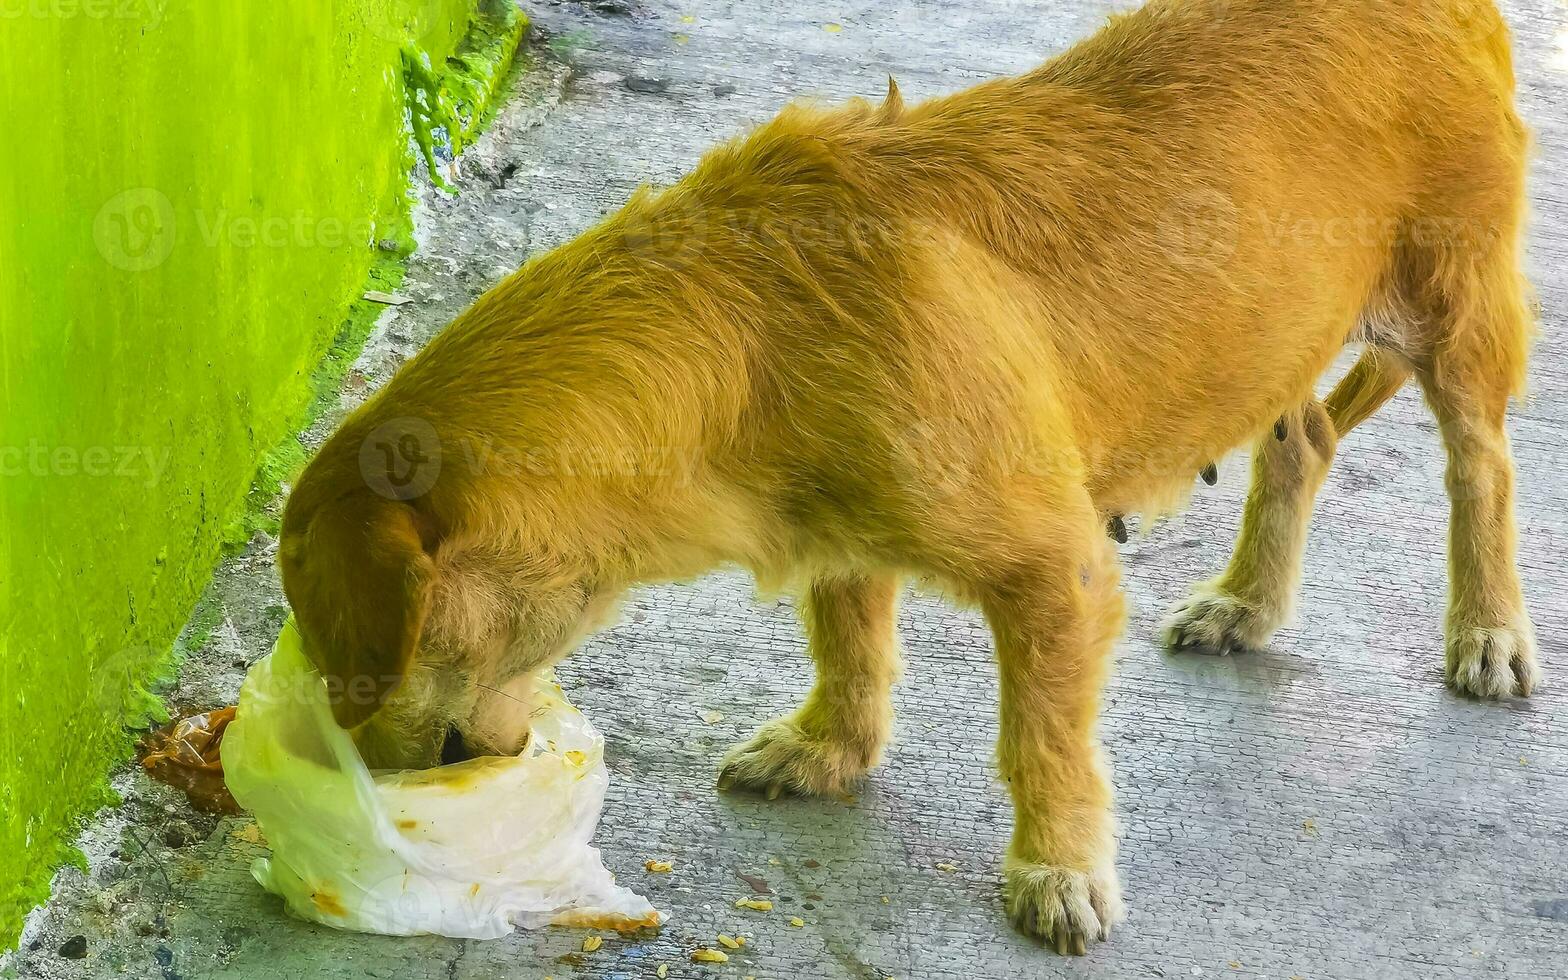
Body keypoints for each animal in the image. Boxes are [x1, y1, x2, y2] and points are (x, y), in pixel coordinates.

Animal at [275, 0, 1536, 953]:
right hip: (1269, 336)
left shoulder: (1056, 569)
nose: (366, 781)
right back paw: (1247, 601)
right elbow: (849, 643)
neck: (747, 331)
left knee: (1481, 466)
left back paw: (1485, 628)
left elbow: (1042, 738)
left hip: (1451, 306)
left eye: (360, 649)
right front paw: (830, 746)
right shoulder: (840, 530)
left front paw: (1055, 864)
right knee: (1301, 441)